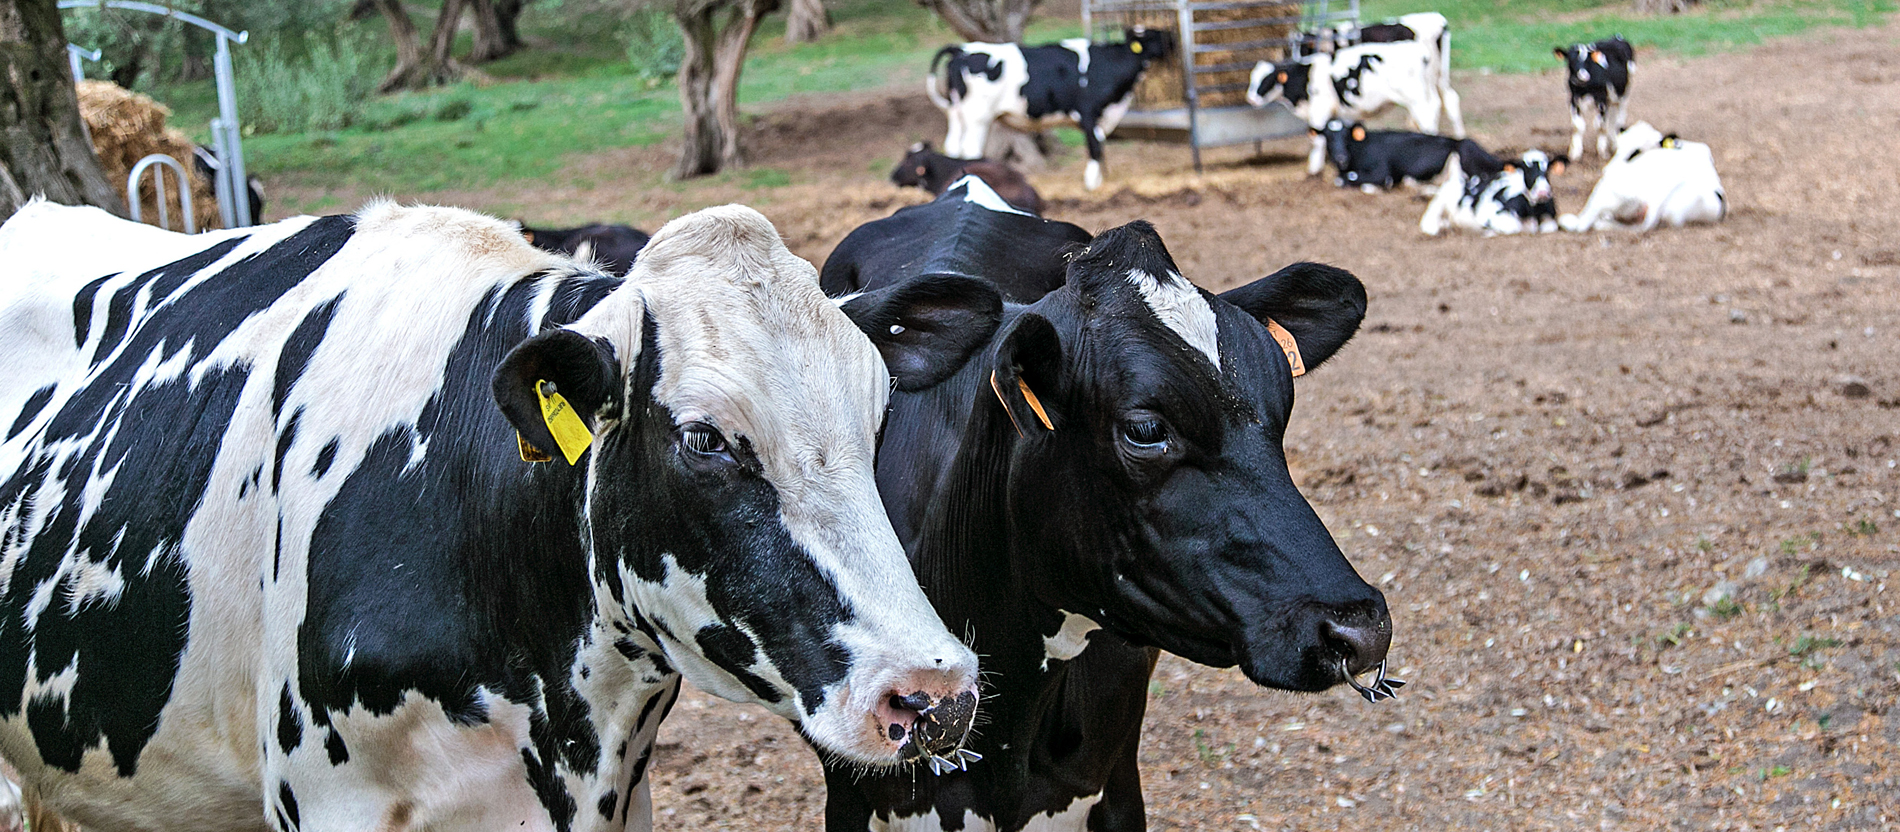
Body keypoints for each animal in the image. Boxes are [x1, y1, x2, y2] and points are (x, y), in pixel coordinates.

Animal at [927, 27, 1175, 191]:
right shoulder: (1088, 112)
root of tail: (962, 49)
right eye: (1159, 35)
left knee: (953, 147)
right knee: (970, 150)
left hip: (957, 114)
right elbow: (1095, 147)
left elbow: (1101, 147)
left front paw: (1102, 179)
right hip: (978, 116)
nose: (1173, 39)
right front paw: (1092, 184)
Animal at [1249, 39, 1467, 176]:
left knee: (1427, 116)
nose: (1250, 98)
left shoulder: (1319, 110)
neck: (1305, 76)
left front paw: (1314, 170)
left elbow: (1317, 140)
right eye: (1251, 79)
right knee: (1445, 103)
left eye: (1266, 80)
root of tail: (1420, 51)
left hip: (1416, 99)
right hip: (1432, 86)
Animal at [1318, 117, 1501, 192]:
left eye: (1345, 136)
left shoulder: (1381, 172)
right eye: (1328, 137)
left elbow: (1343, 180)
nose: (1340, 157)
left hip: (1467, 153)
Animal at [1419, 149, 1569, 236]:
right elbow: (1513, 227)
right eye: (1524, 168)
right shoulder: (1491, 215)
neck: (1533, 212)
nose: (1542, 192)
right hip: (1439, 200)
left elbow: (1552, 225)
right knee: (1429, 221)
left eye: (1547, 169)